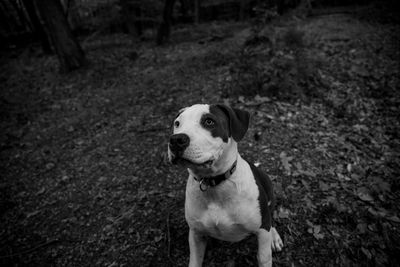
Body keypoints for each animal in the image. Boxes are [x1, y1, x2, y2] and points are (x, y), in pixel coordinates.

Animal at [167, 104, 282, 267]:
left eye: (209, 122)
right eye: (177, 124)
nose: (176, 139)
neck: (213, 184)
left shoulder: (261, 230)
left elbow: (264, 257)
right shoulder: (196, 233)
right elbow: (195, 260)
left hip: (269, 194)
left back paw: (275, 237)